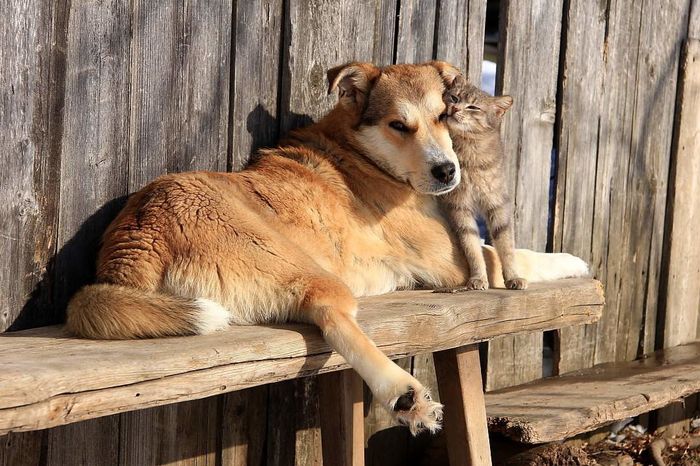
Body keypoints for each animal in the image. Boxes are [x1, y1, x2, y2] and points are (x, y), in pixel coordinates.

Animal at [438, 74, 524, 290]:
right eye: (454, 97)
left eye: (473, 107)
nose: (455, 108)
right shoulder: (459, 207)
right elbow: (472, 247)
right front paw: (478, 278)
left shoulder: (497, 203)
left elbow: (506, 245)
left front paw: (513, 276)